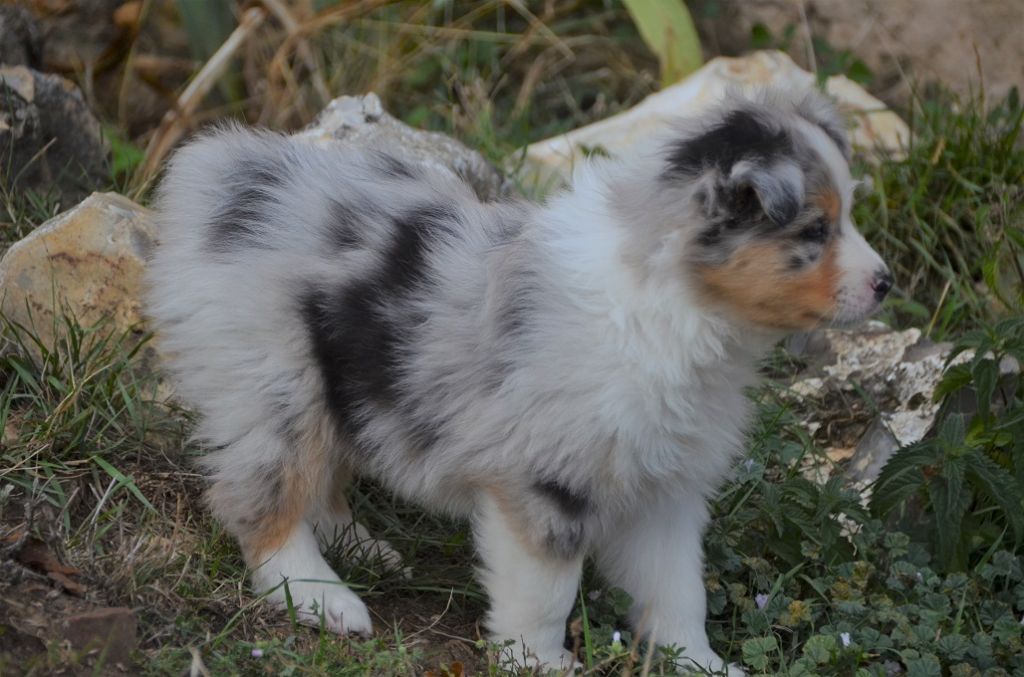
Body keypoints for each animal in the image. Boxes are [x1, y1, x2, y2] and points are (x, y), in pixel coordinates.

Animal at [145, 86, 890, 674]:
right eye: (815, 230)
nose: (885, 283)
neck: (673, 305)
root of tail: (227, 170)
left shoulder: (665, 486)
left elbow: (679, 590)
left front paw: (702, 664)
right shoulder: (544, 481)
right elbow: (545, 591)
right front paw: (538, 661)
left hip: (331, 381)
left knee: (321, 476)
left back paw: (362, 548)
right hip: (272, 382)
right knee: (264, 504)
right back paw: (322, 596)